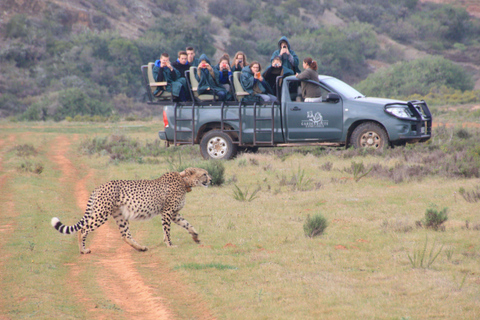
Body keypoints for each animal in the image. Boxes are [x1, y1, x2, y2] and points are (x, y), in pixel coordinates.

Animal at [50, 168, 212, 255]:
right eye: (204, 174)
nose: (210, 179)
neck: (184, 181)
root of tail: (100, 186)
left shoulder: (174, 214)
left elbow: (187, 224)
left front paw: (196, 237)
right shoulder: (167, 212)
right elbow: (167, 230)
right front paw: (170, 244)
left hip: (119, 215)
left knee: (125, 235)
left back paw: (141, 248)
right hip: (102, 213)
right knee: (83, 229)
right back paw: (83, 250)